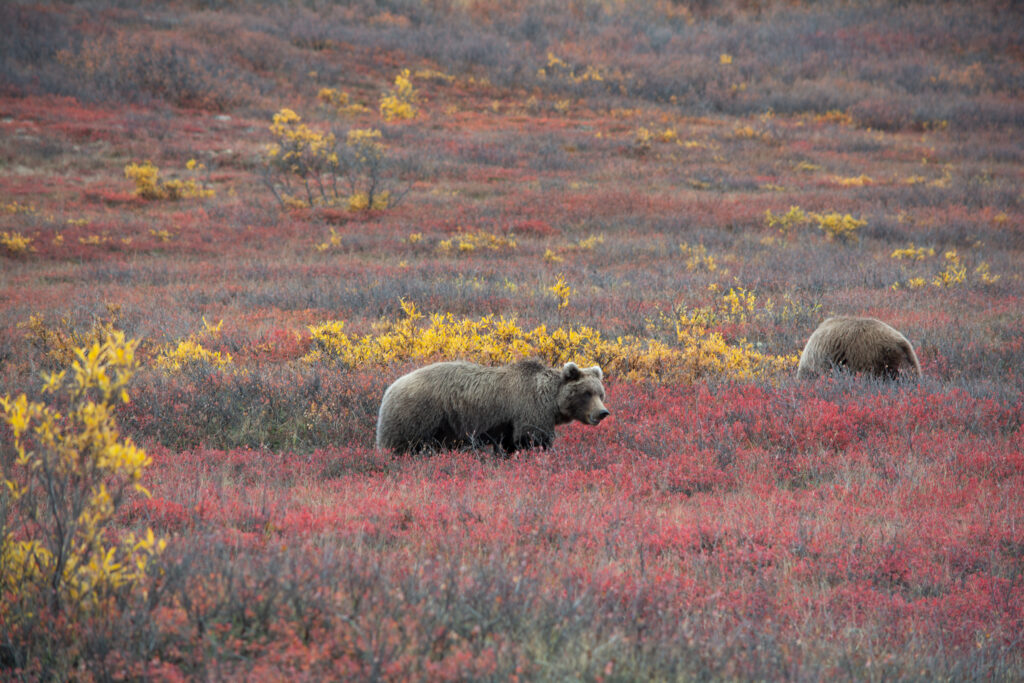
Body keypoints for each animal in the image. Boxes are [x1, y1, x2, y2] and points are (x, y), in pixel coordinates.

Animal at [380, 360, 610, 456]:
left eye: (600, 393)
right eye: (586, 393)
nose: (602, 412)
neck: (551, 402)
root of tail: (390, 388)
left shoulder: (509, 425)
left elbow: (509, 445)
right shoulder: (529, 412)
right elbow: (534, 440)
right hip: (417, 417)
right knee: (401, 446)